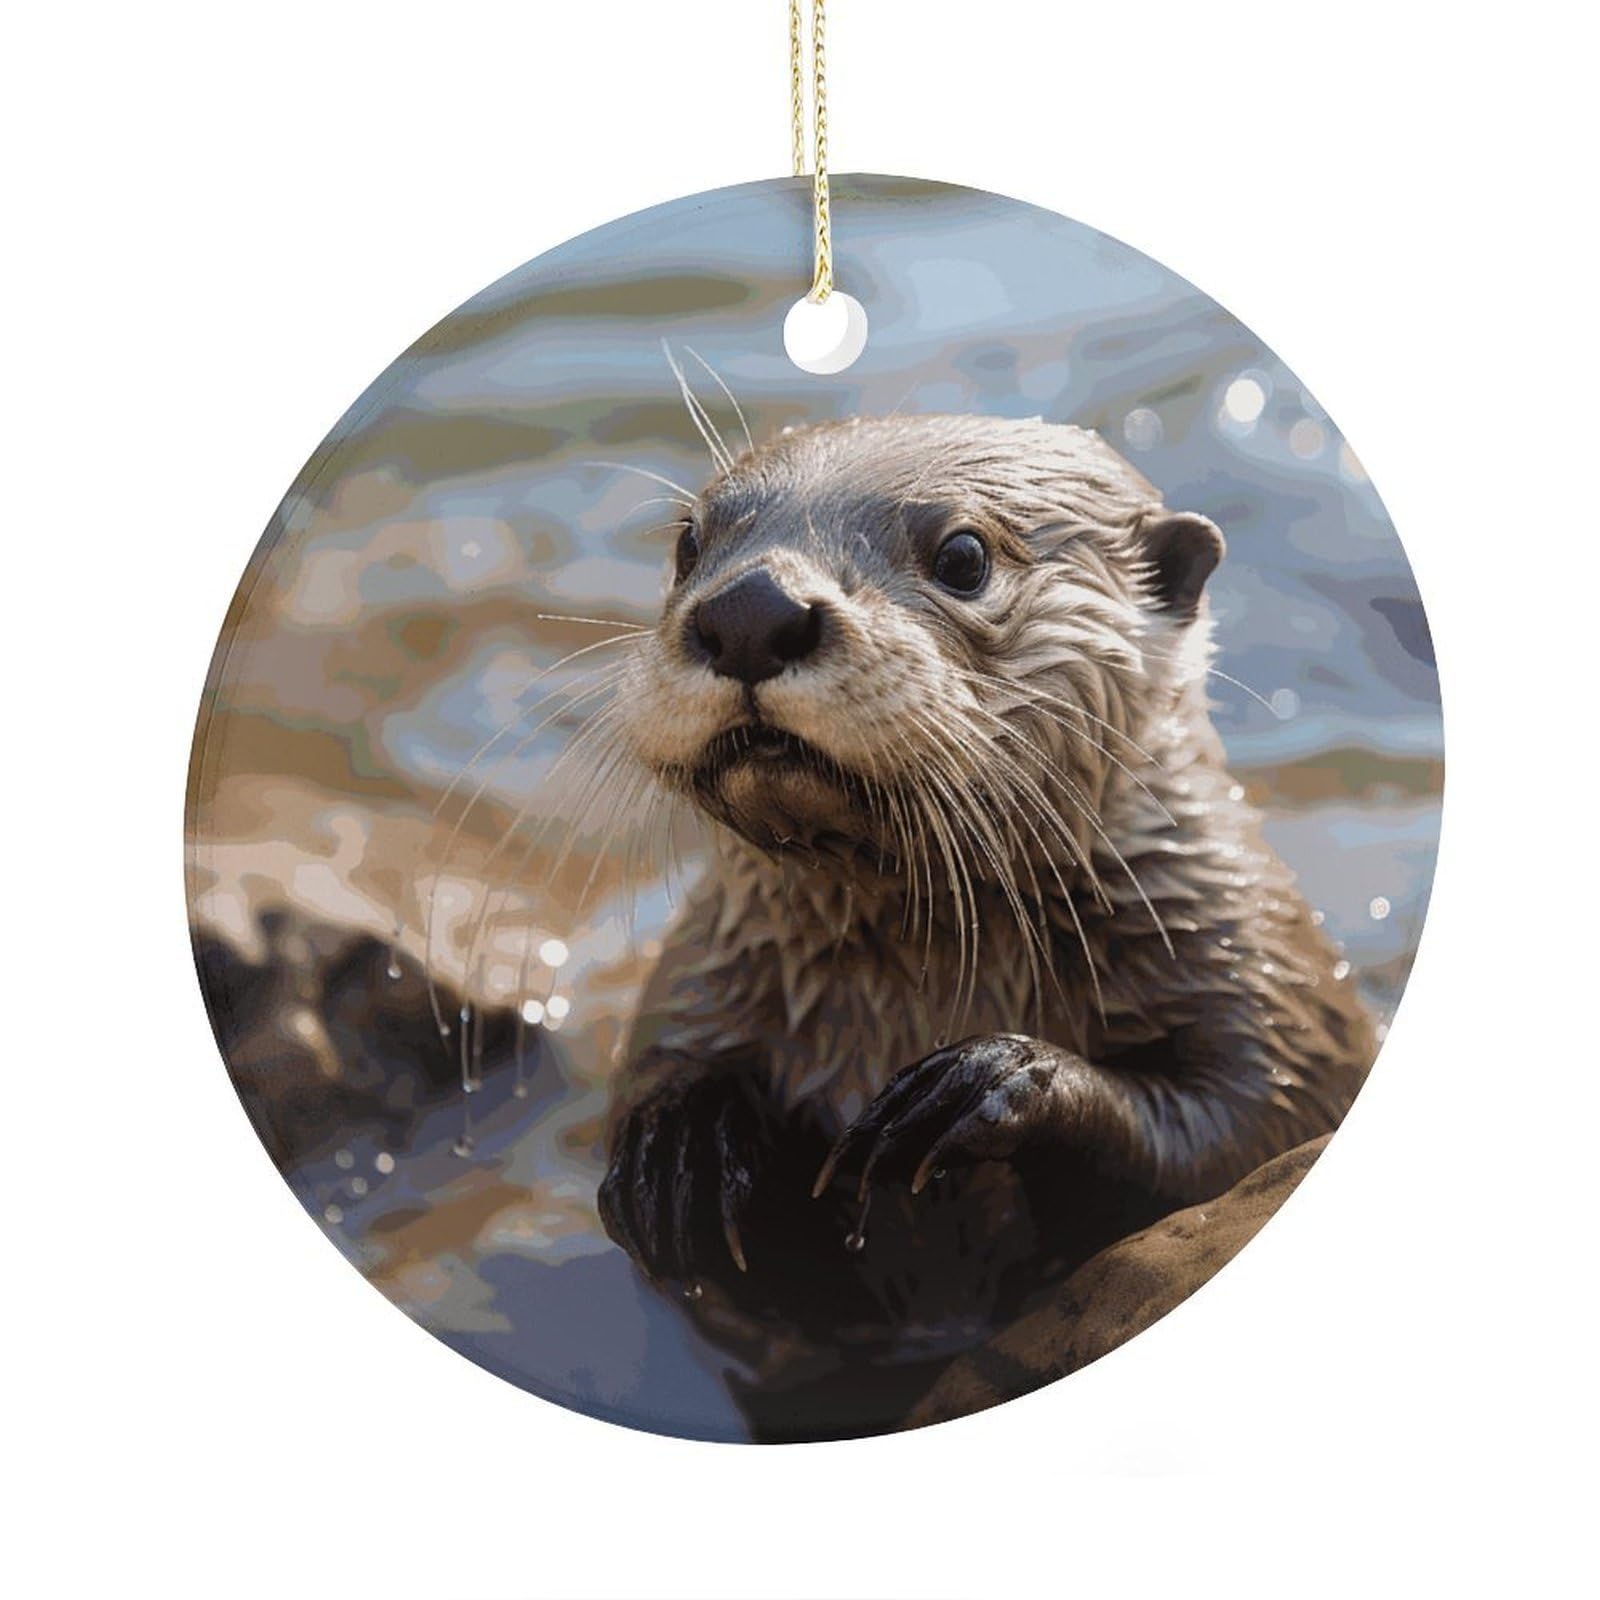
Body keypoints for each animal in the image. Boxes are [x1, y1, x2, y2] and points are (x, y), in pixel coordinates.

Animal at [594, 414, 1374, 1440]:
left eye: (963, 555)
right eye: (690, 543)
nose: (751, 610)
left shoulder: (1267, 985)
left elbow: (1242, 1136)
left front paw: (993, 1082)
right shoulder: (696, 978)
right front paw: (683, 1143)